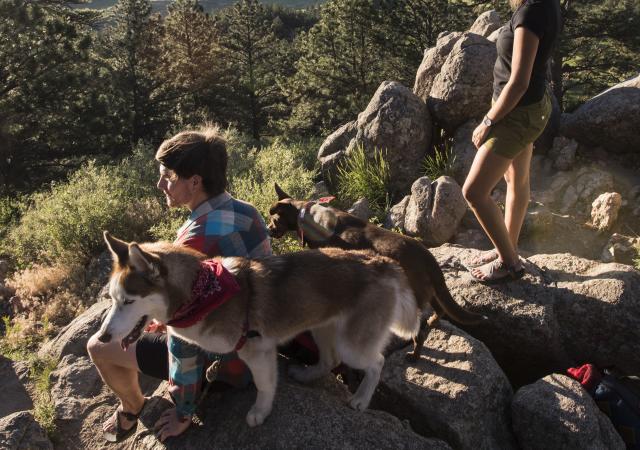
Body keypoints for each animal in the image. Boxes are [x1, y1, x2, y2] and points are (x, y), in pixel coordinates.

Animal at [97, 232, 420, 428]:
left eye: (128, 301)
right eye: (112, 299)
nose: (102, 337)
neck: (200, 294)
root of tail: (384, 262)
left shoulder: (257, 350)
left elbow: (264, 386)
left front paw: (260, 412)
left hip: (352, 345)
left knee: (376, 362)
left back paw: (362, 399)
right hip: (322, 327)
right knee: (329, 360)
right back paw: (307, 374)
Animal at [266, 183, 484, 358]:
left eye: (275, 220)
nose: (268, 229)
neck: (307, 216)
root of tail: (428, 258)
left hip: (416, 296)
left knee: (420, 333)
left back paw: (414, 355)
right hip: (431, 291)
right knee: (441, 310)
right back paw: (433, 322)